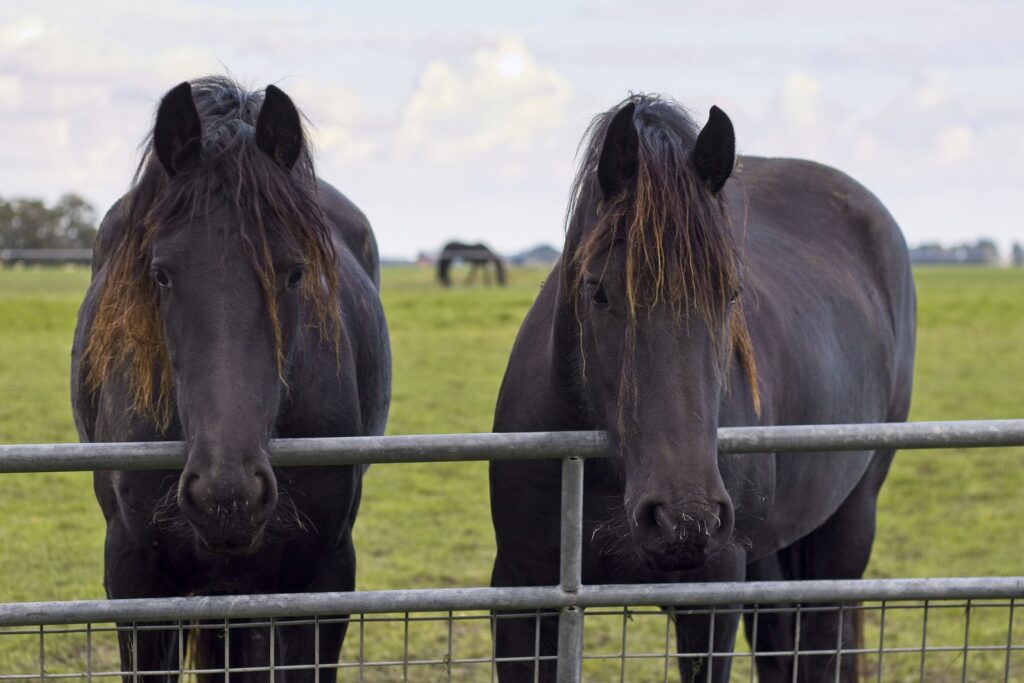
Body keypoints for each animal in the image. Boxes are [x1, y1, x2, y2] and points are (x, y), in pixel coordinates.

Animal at [491, 93, 917, 679]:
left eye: (731, 293)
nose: (684, 518)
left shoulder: (711, 602)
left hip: (847, 527)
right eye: (598, 293)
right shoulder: (521, 597)